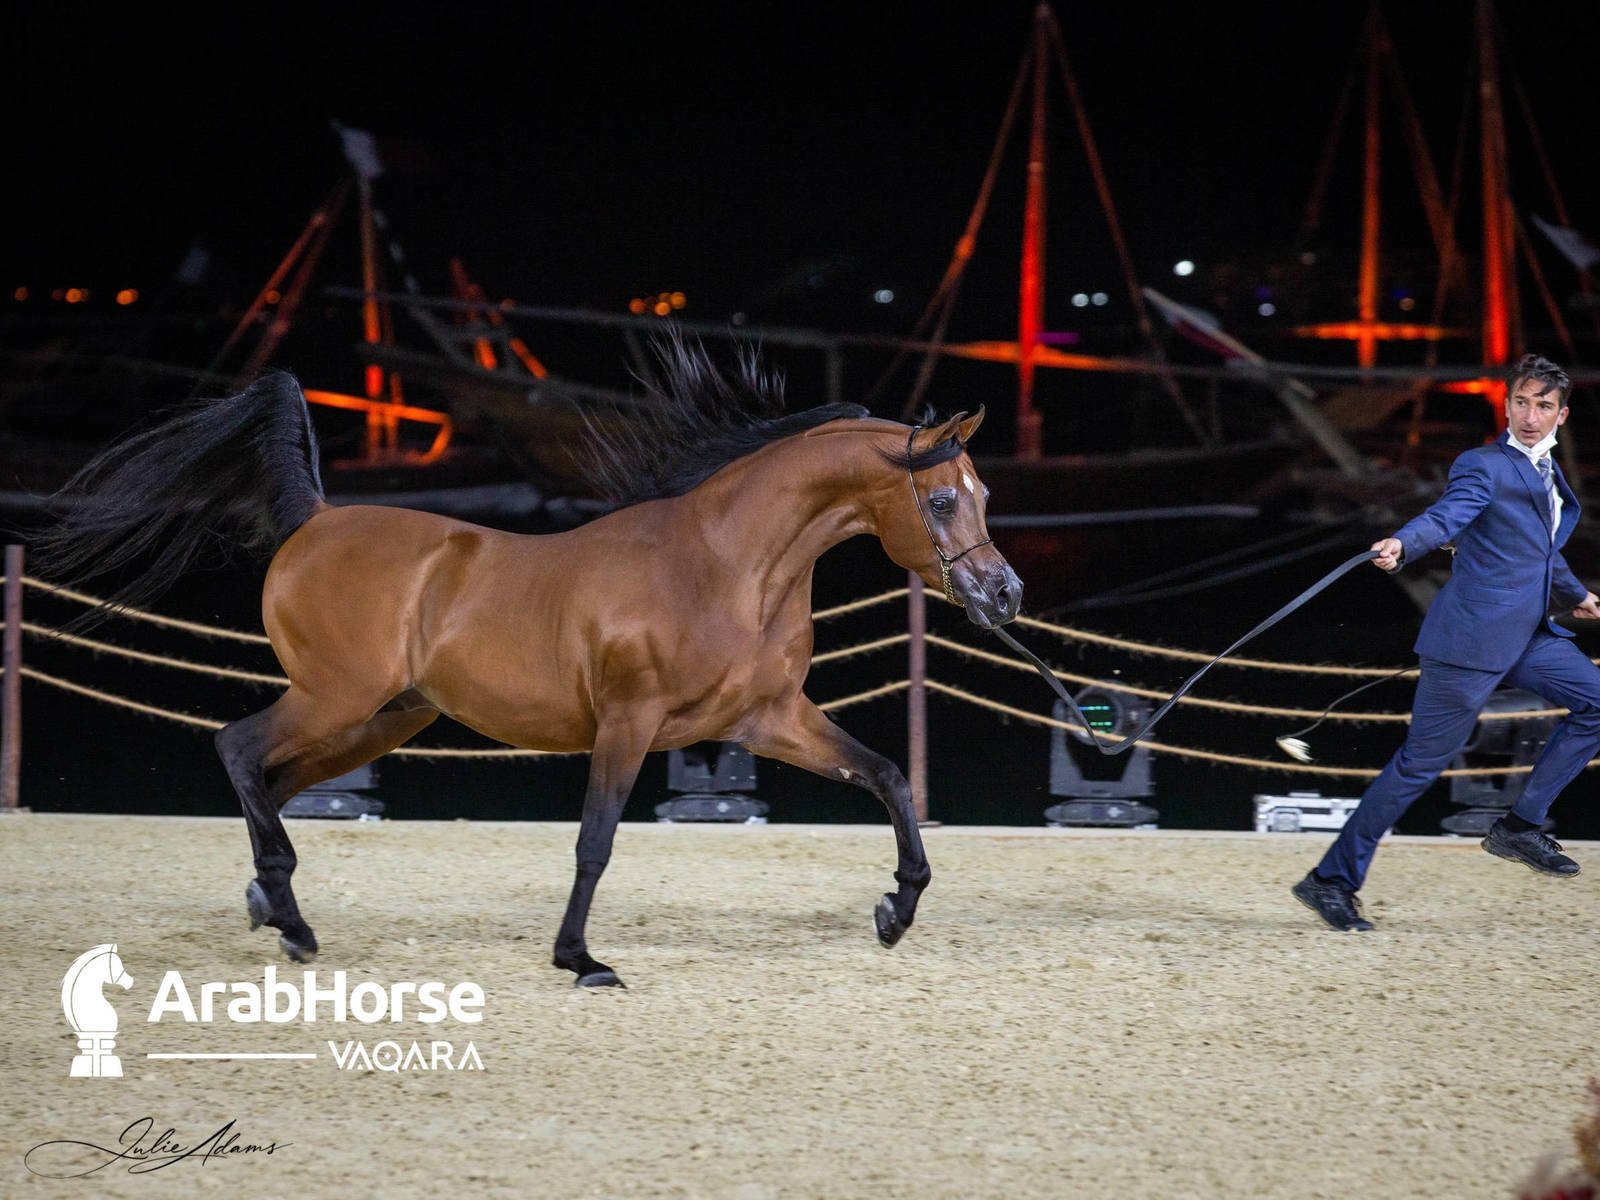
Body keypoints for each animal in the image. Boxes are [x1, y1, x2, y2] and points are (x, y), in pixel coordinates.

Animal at [34, 340, 1022, 986]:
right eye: (941, 499)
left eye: (983, 491)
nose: (1005, 594)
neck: (725, 566)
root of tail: (315, 518)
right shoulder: (628, 723)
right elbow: (595, 840)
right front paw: (580, 960)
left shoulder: (770, 720)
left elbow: (887, 776)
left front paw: (896, 912)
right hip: (336, 696)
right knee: (238, 750)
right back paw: (295, 922)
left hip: (389, 714)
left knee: (271, 781)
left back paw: (268, 906)